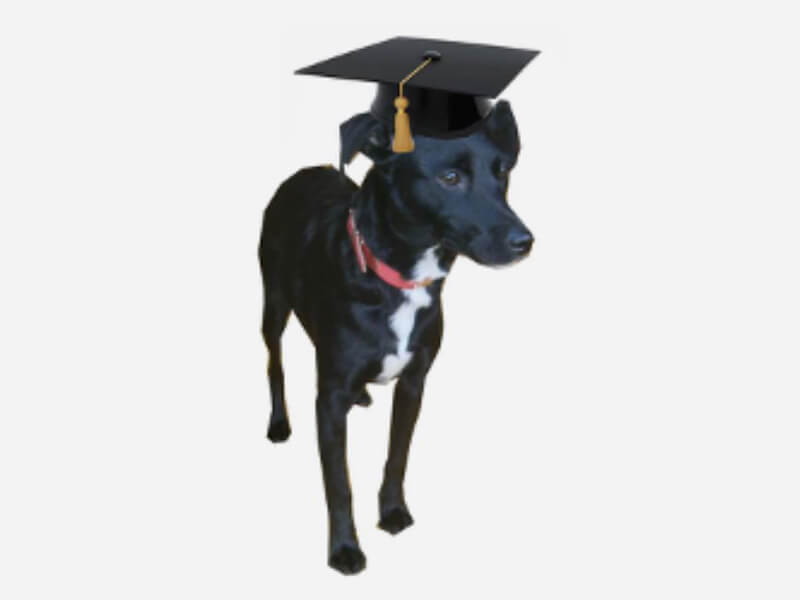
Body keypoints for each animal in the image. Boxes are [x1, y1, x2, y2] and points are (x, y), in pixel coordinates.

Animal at [258, 100, 533, 574]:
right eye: (450, 177)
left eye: (502, 172)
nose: (525, 242)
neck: (397, 278)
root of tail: (305, 171)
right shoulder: (329, 398)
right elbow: (338, 482)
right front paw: (344, 550)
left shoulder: (414, 382)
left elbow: (397, 456)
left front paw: (391, 513)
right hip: (273, 303)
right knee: (274, 362)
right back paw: (279, 423)